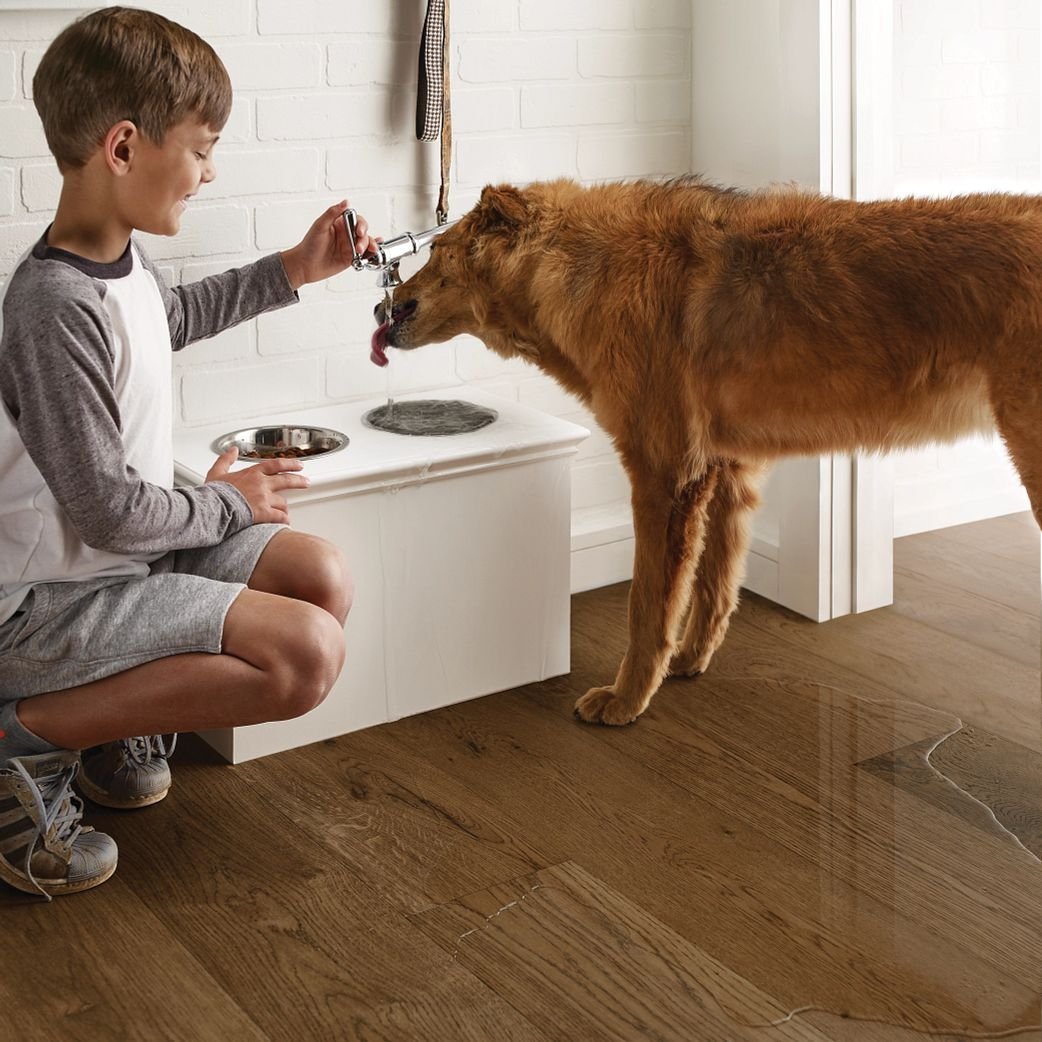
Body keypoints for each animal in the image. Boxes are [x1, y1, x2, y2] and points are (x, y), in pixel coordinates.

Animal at [375, 177, 1042, 725]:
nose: (381, 305)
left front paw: (626, 700)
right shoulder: (729, 471)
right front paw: (690, 663)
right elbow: (715, 588)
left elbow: (648, 605)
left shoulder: (664, 477)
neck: (593, 268)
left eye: (432, 253)